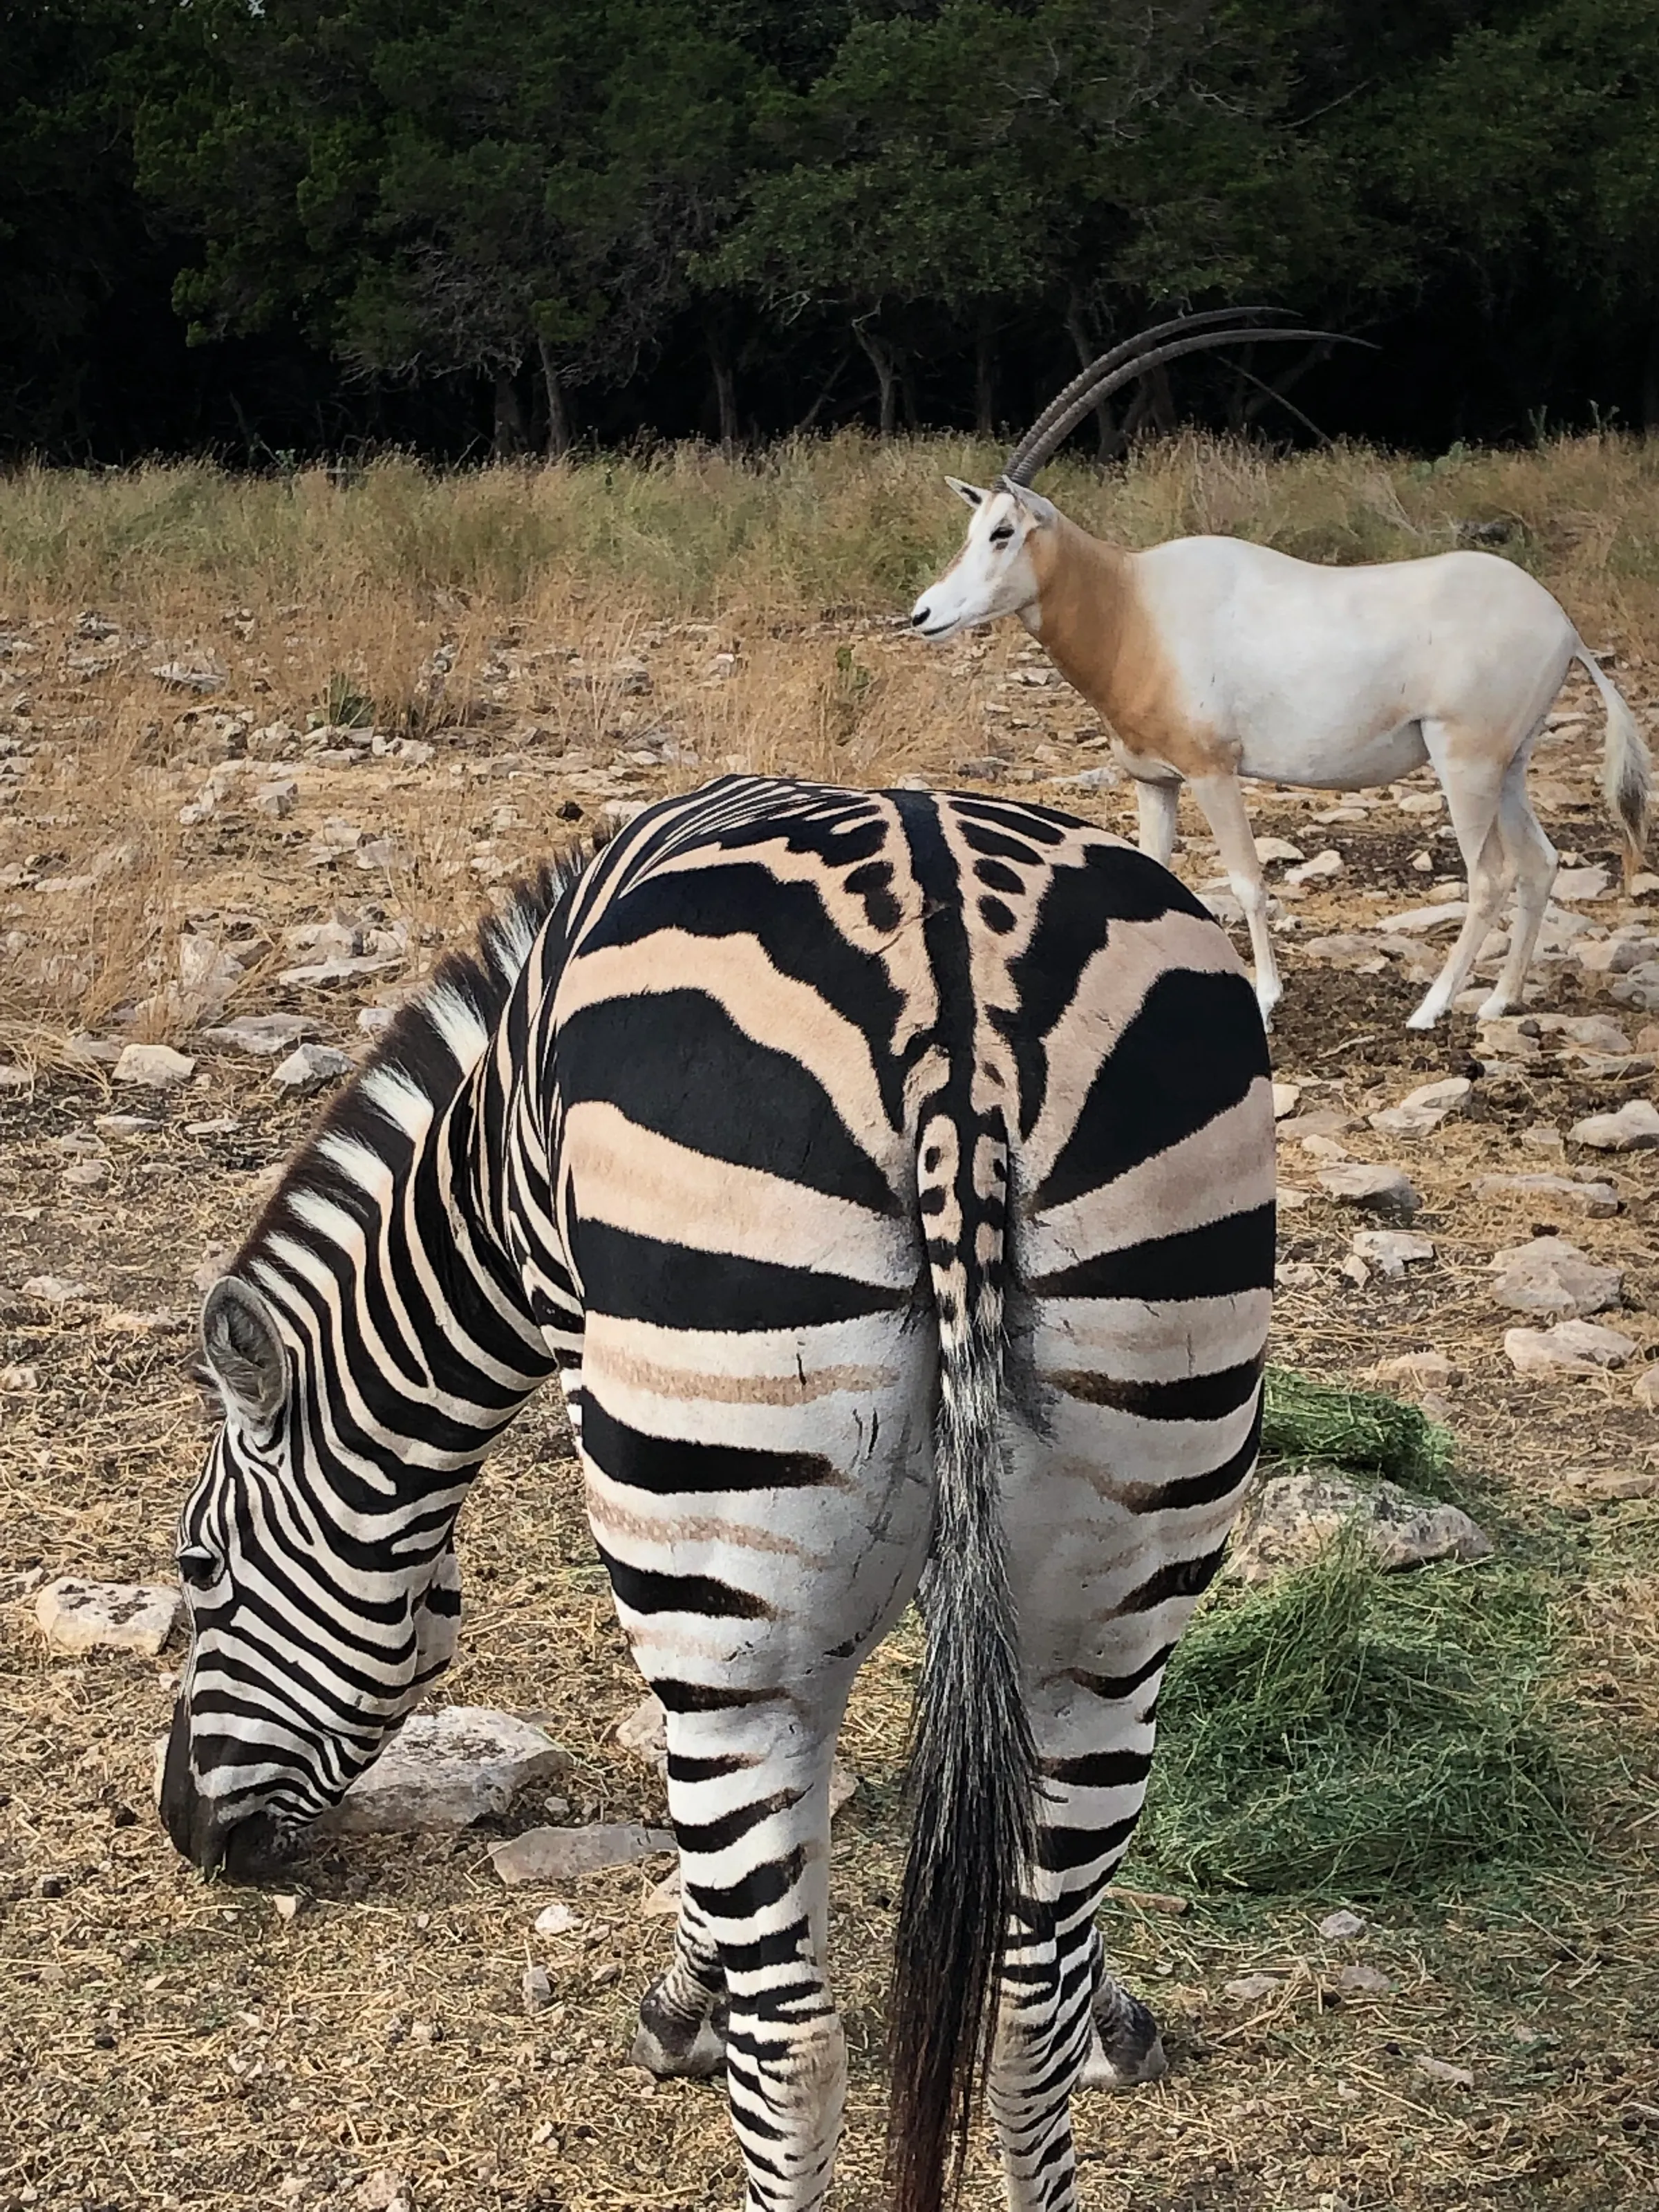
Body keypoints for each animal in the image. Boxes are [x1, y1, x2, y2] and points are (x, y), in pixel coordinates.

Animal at [161, 772, 1275, 2212]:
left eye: (199, 1573)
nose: (184, 1829)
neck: (482, 1169)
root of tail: (957, 1022)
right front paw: (1120, 2018)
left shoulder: (589, 1346)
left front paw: (683, 2002)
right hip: (1118, 1581)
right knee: (1029, 2004)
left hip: (731, 1568)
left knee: (796, 2048)